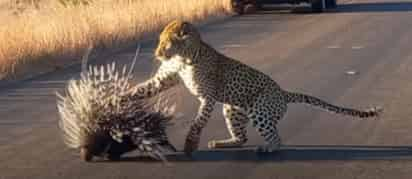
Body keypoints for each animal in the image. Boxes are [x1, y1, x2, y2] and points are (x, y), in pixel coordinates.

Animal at [129, 20, 384, 156]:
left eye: (165, 42)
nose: (157, 53)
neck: (184, 57)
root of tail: (283, 93)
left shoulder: (207, 97)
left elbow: (198, 122)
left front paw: (190, 146)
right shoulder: (164, 79)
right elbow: (143, 89)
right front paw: (122, 99)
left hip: (260, 110)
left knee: (276, 138)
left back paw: (266, 149)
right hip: (233, 109)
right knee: (241, 137)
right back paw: (222, 143)